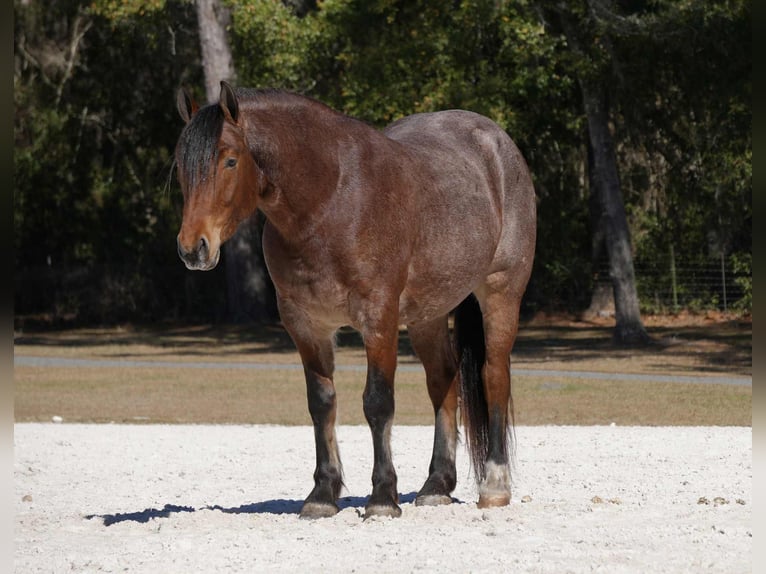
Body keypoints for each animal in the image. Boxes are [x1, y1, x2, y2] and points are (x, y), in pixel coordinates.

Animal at [174, 81, 536, 519]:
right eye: (181, 165)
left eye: (229, 160)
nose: (193, 248)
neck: (328, 201)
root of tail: (497, 143)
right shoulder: (305, 325)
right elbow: (321, 403)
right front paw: (322, 494)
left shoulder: (378, 319)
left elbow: (377, 403)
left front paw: (382, 497)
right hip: (427, 315)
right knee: (443, 382)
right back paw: (436, 485)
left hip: (500, 294)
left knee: (494, 375)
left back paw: (495, 486)